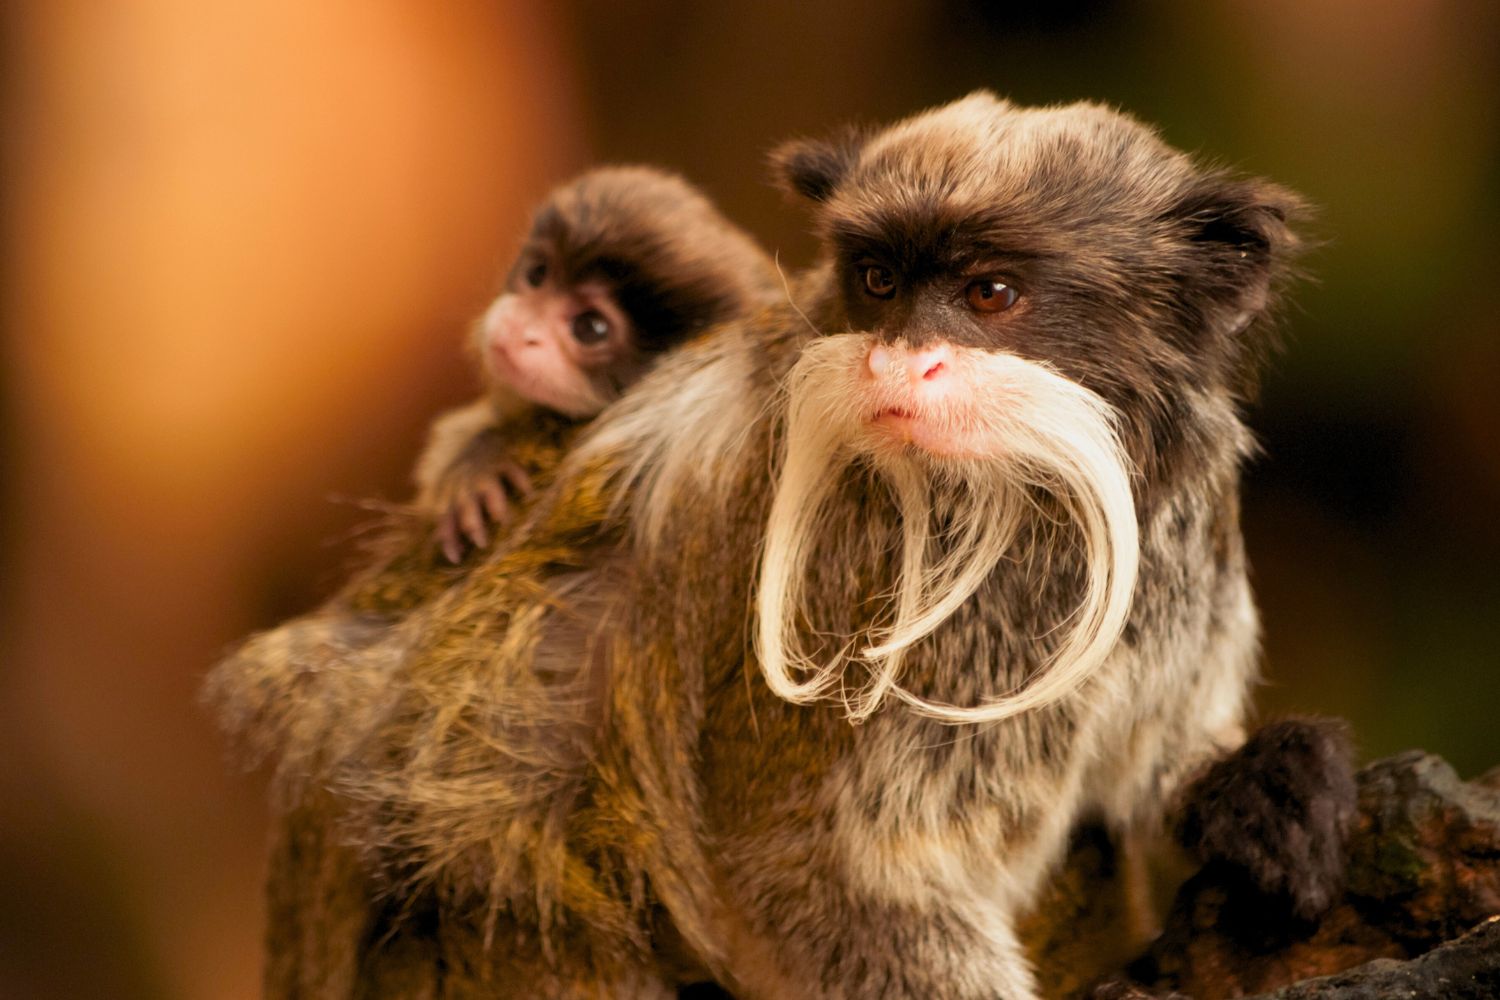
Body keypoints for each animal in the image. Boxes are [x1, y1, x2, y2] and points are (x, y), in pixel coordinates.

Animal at [211, 94, 1346, 998]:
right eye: (880, 281)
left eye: (989, 295)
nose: (897, 362)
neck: (1038, 507)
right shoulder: (849, 587)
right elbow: (807, 876)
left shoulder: (1183, 535)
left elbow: (1145, 767)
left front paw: (1257, 789)